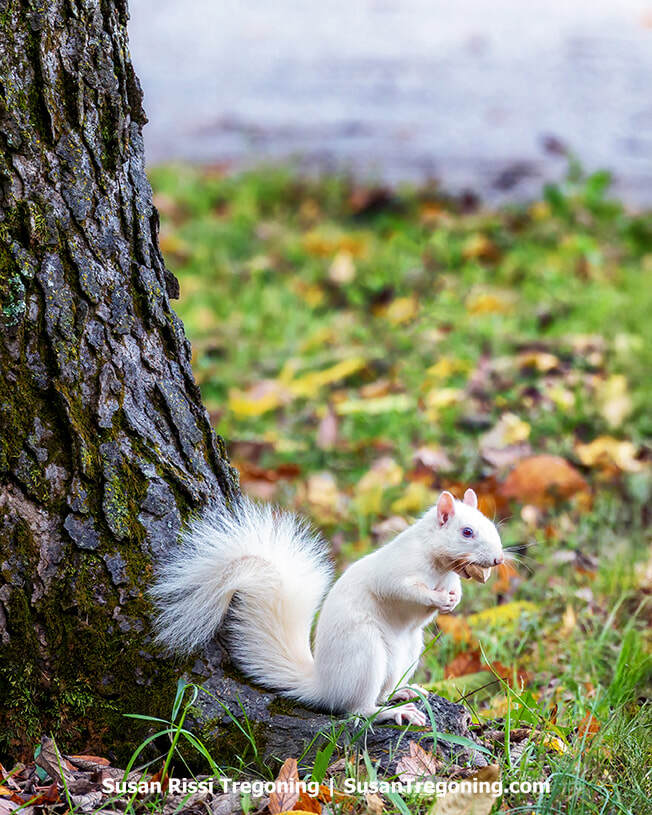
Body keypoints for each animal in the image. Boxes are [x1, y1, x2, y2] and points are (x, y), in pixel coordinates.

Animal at [151, 488, 504, 726]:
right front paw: (438, 599)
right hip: (365, 653)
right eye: (467, 532)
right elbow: (403, 590)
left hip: (407, 652)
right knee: (358, 708)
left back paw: (404, 693)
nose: (499, 559)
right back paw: (392, 713)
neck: (439, 566)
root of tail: (324, 685)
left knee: (382, 692)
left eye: (491, 525)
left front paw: (454, 598)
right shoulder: (396, 571)